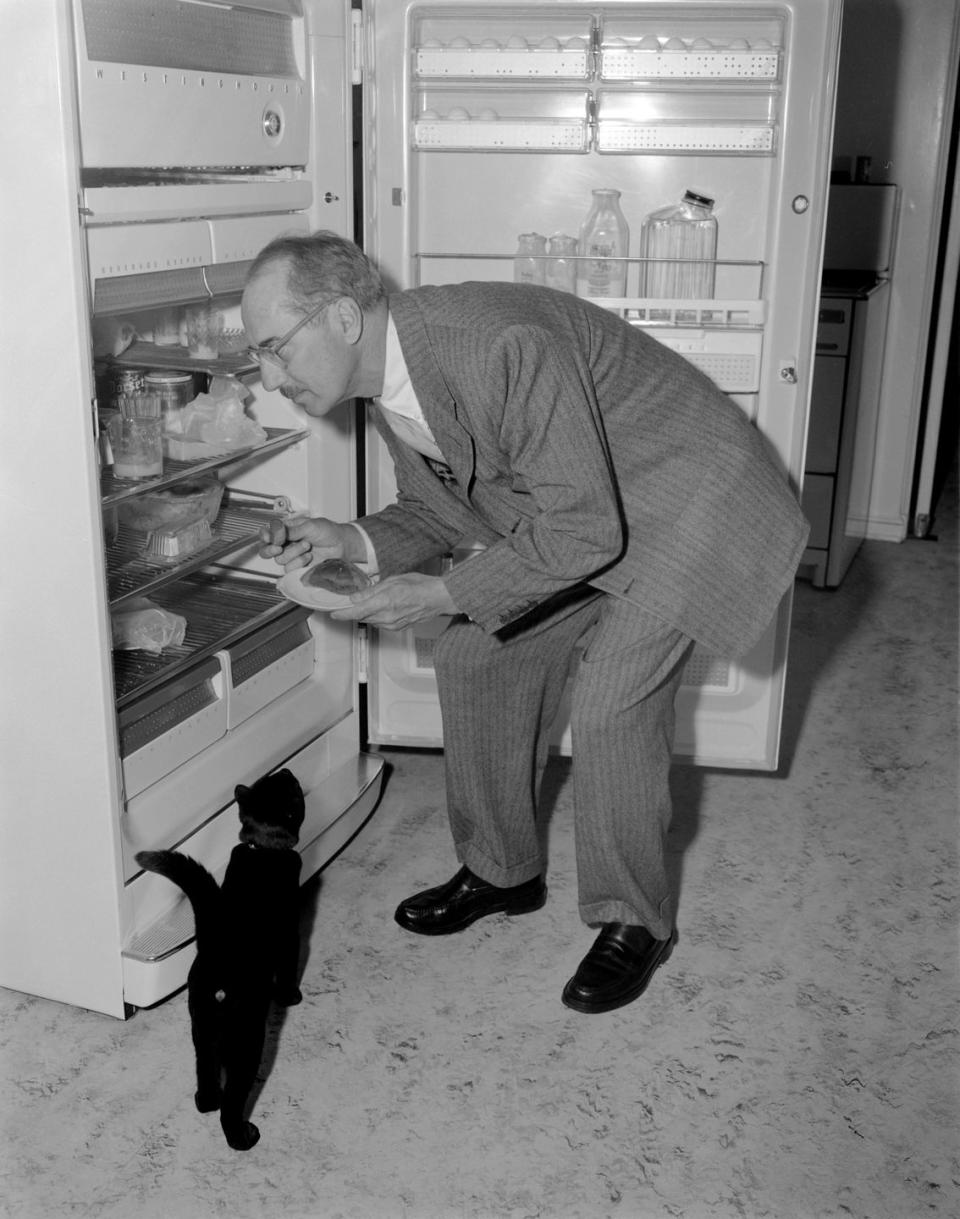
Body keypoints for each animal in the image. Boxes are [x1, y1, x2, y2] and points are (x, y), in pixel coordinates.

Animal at [135, 765, 305, 1145]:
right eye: (294, 786)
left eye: (277, 777)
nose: (288, 767)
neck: (261, 850)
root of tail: (218, 979)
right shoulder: (291, 931)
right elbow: (291, 964)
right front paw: (292, 996)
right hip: (247, 1040)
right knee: (233, 1098)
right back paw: (242, 1137)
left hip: (202, 1029)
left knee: (205, 1071)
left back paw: (205, 1102)